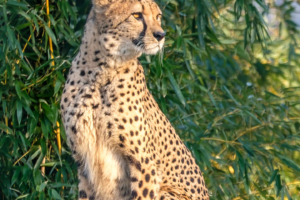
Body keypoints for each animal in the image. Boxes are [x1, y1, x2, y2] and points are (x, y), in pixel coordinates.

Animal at [60, 0, 211, 198]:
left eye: (158, 16)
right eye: (137, 15)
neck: (99, 72)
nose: (161, 35)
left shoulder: (144, 164)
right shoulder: (83, 160)